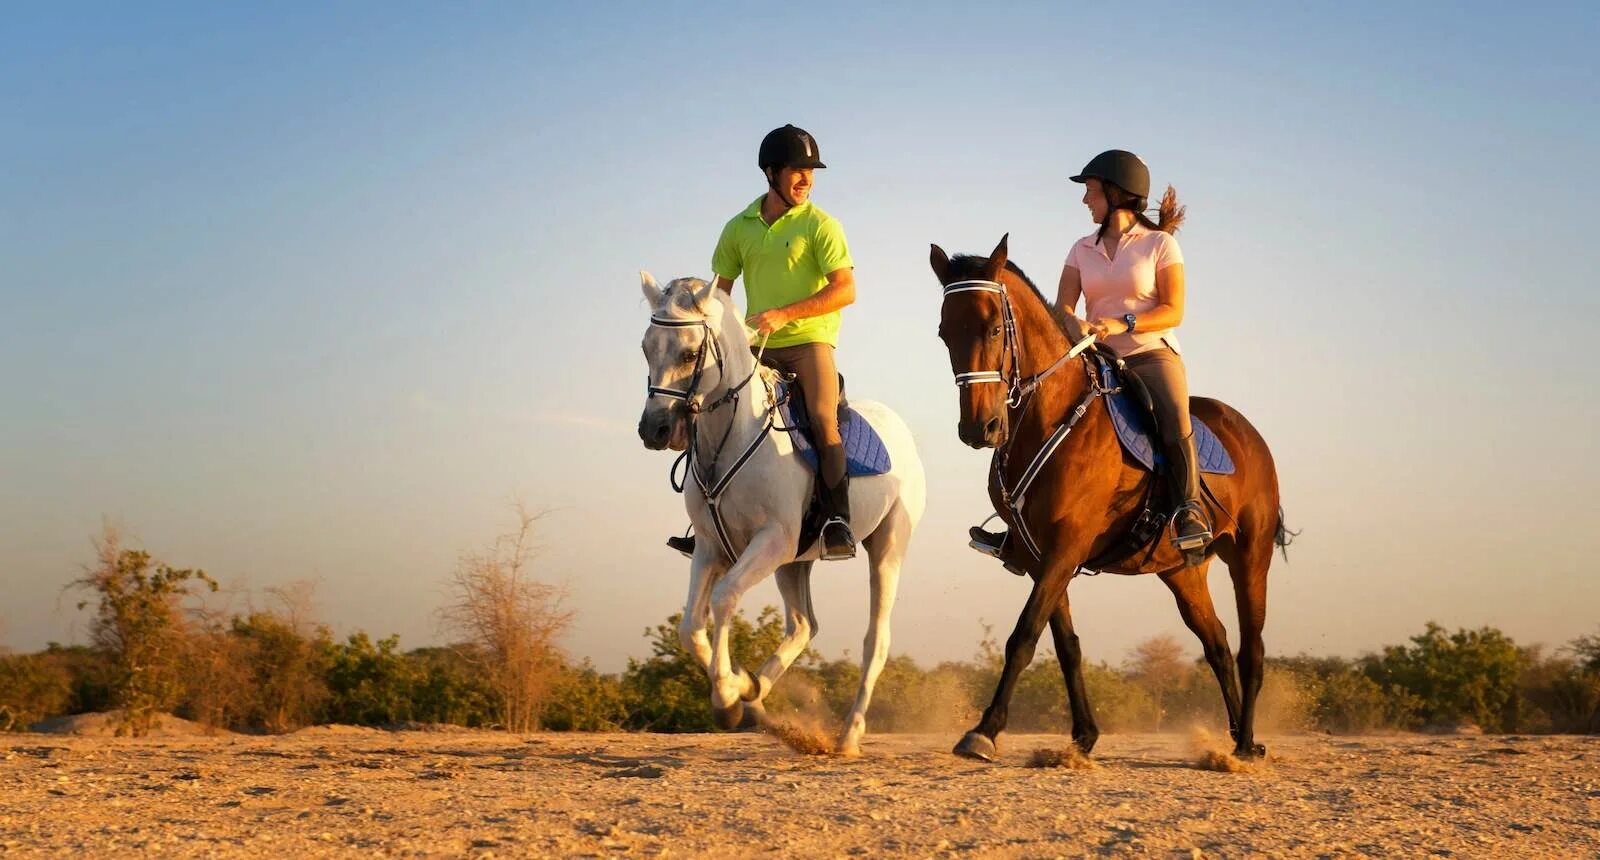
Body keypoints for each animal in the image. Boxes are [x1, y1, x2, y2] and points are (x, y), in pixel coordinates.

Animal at [630, 273, 921, 748]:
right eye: (646, 347)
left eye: (689, 353)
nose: (654, 430)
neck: (731, 436)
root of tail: (898, 428)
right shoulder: (710, 546)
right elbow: (690, 626)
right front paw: (739, 688)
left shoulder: (772, 540)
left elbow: (723, 597)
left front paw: (726, 699)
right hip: (794, 563)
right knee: (803, 626)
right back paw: (757, 690)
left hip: (886, 548)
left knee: (875, 639)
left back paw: (849, 734)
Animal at [928, 234, 1286, 757]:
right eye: (944, 333)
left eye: (994, 328)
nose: (981, 428)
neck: (1049, 418)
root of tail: (1249, 433)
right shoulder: (1038, 554)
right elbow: (1065, 644)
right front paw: (1083, 735)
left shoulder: (1068, 544)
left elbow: (1024, 635)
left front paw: (985, 730)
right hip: (1181, 571)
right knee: (1217, 643)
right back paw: (1239, 735)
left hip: (1250, 556)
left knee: (1250, 647)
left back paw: (1246, 746)